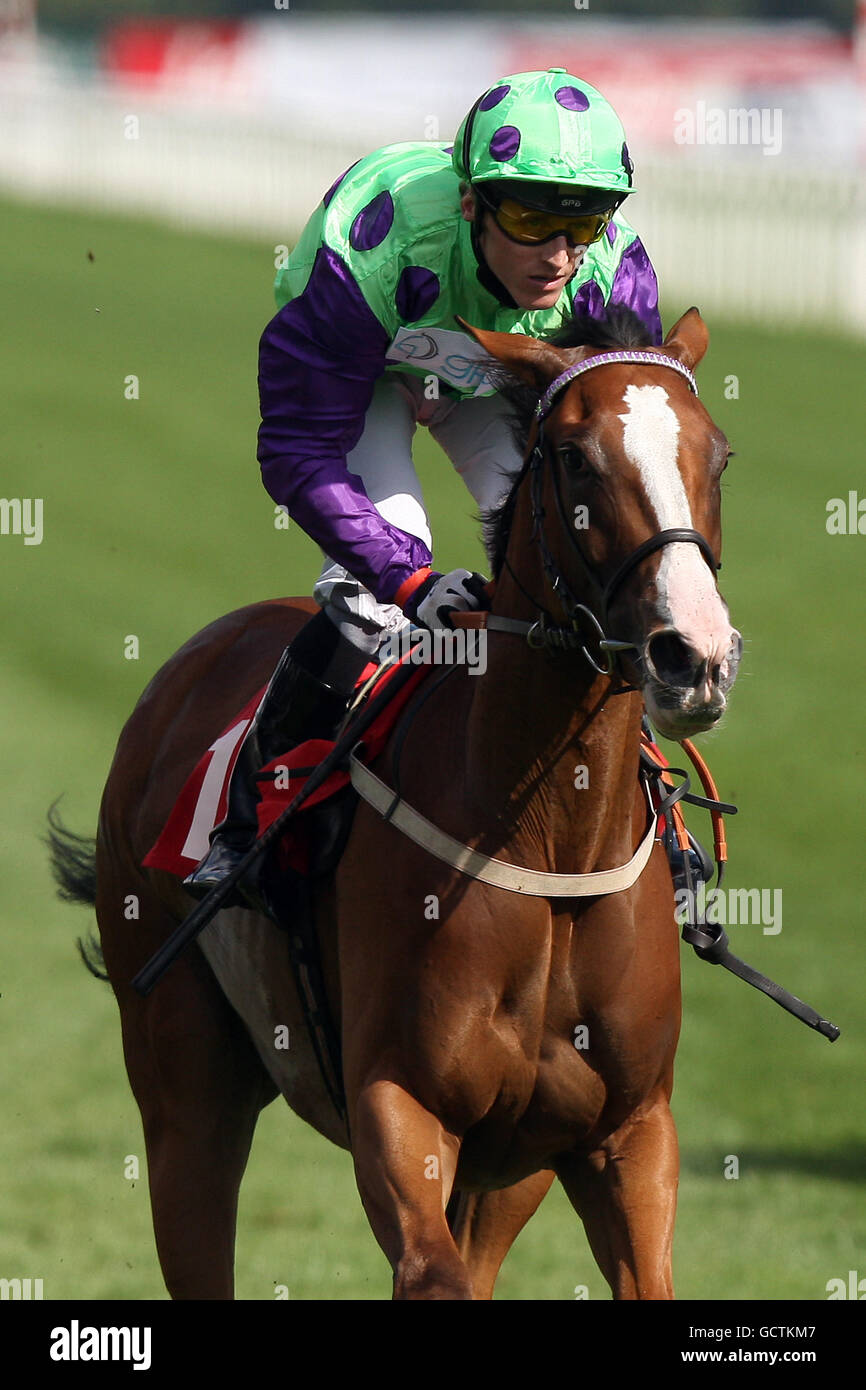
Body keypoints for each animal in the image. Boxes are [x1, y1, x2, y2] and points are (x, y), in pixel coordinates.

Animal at [52, 307, 739, 1301]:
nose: (695, 655)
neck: (551, 839)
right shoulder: (399, 1103)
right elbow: (431, 1270)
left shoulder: (621, 1130)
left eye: (718, 454)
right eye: (575, 458)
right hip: (183, 1083)